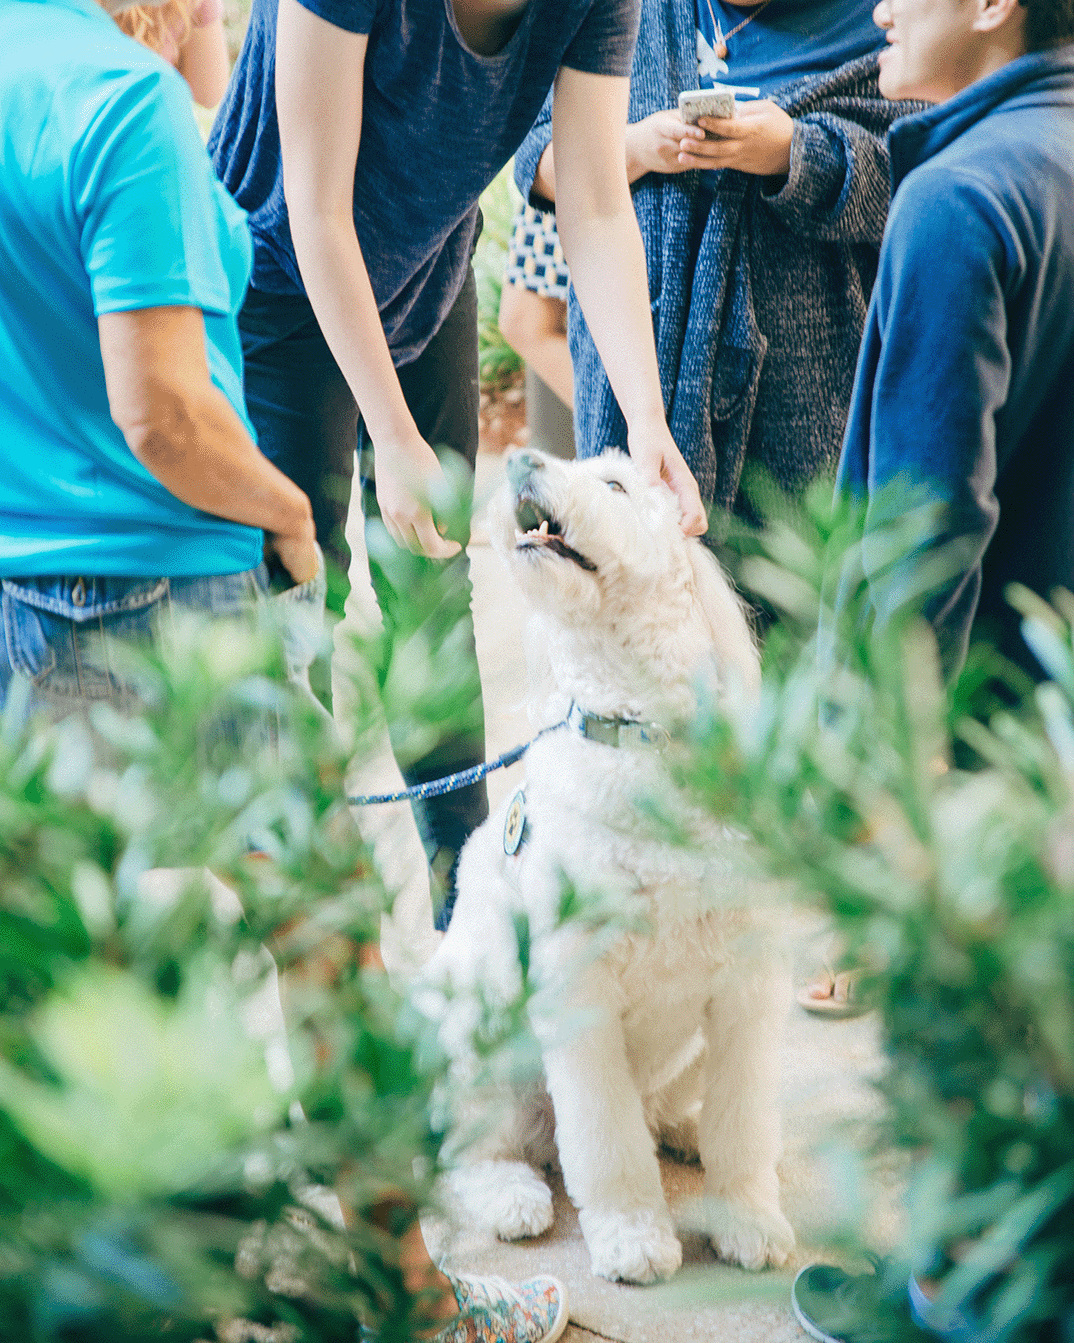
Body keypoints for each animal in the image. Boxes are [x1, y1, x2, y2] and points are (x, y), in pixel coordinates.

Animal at [424, 453, 794, 1289]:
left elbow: (747, 1123)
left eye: (617, 485)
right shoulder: (579, 993)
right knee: (471, 1150)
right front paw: (633, 1238)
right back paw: (511, 1196)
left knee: (664, 1113)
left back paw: (684, 1128)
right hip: (479, 1044)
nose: (521, 458)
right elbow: (608, 1143)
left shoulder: (748, 987)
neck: (639, 736)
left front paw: (749, 1218)